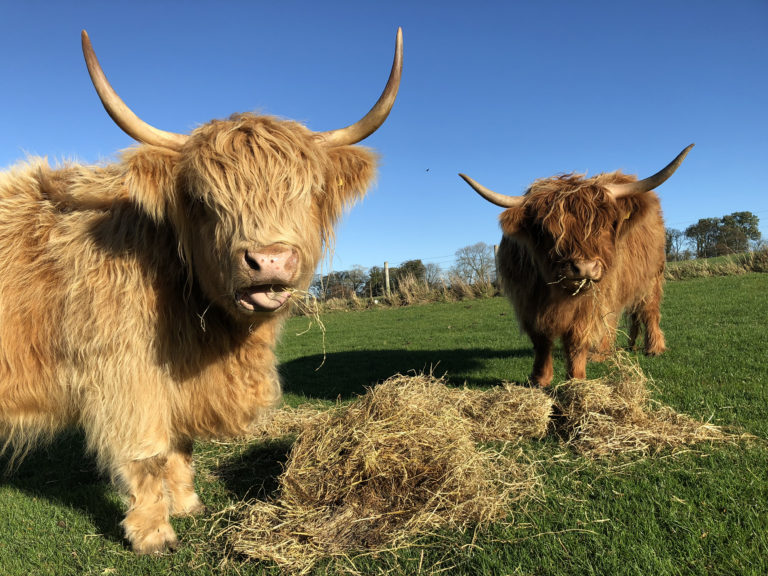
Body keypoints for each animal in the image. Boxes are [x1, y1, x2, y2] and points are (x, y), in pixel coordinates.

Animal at [0, 30, 404, 552]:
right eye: (202, 199)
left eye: (311, 192)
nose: (269, 260)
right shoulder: (122, 375)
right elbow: (148, 454)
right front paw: (154, 533)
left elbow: (181, 445)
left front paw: (189, 504)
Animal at [460, 144, 692, 388]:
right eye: (546, 230)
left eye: (605, 225)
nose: (585, 269)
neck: (557, 293)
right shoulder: (528, 301)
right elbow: (541, 341)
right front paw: (539, 379)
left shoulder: (589, 302)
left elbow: (577, 339)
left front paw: (576, 380)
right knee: (617, 317)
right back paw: (608, 351)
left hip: (651, 277)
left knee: (648, 310)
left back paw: (653, 348)